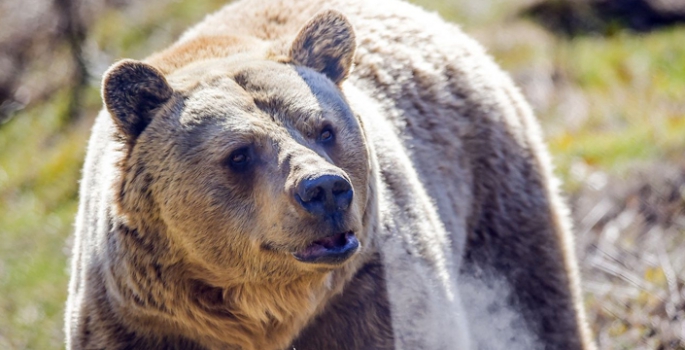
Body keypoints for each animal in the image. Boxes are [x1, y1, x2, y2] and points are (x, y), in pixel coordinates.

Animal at [64, 0, 596, 350]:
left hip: (494, 203)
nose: (325, 190)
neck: (266, 310)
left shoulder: (369, 297)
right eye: (239, 154)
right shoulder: (138, 322)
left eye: (324, 128)